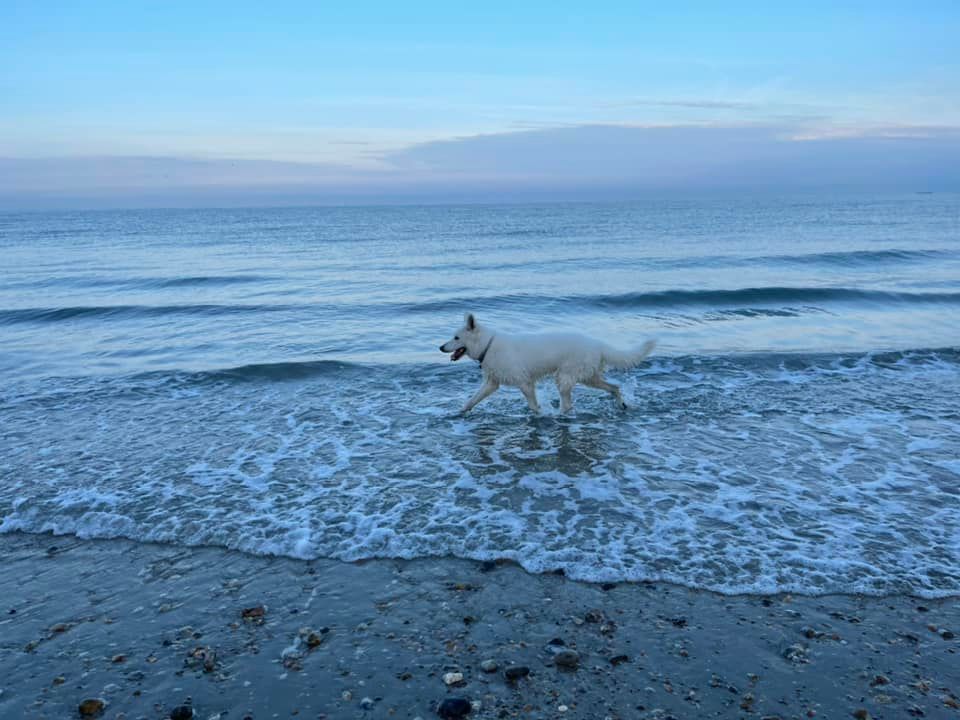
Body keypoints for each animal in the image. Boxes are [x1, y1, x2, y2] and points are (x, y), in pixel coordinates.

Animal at [440, 312, 652, 414]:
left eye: (456, 337)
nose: (441, 347)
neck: (487, 345)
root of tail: (598, 343)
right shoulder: (491, 383)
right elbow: (471, 401)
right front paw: (460, 412)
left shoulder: (525, 383)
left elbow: (533, 406)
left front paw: (540, 414)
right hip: (588, 378)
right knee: (614, 387)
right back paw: (622, 404)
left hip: (565, 378)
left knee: (567, 405)